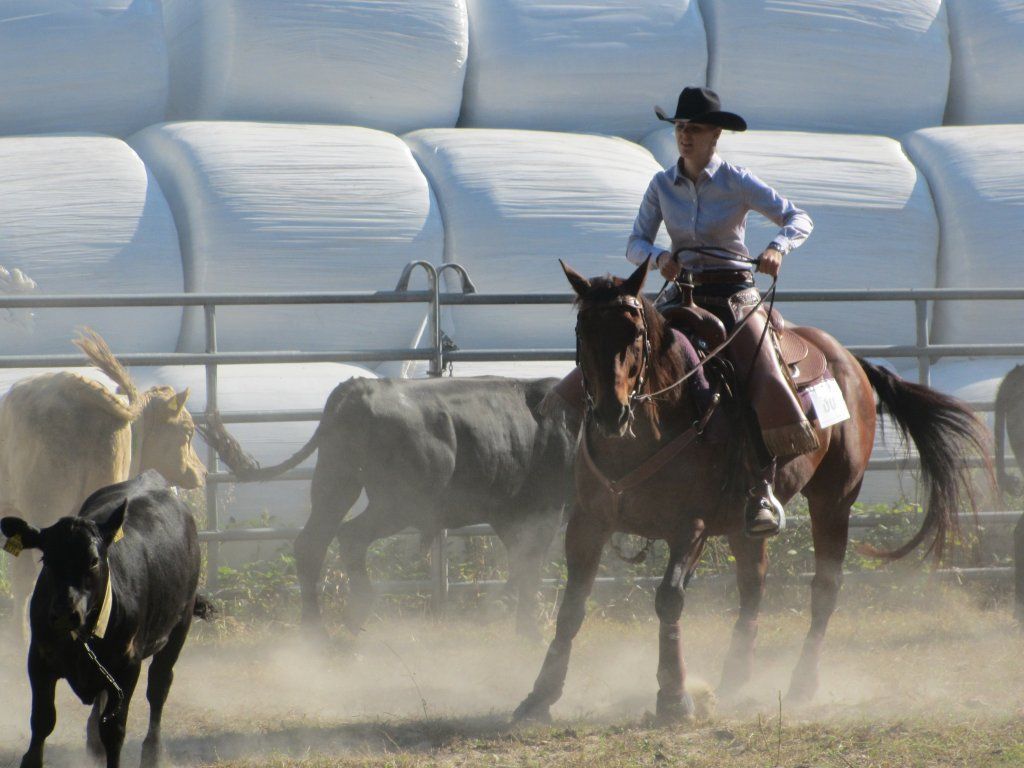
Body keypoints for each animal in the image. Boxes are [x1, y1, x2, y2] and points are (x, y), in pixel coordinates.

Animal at [514, 257, 992, 722]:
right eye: (583, 331)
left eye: (634, 333)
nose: (611, 413)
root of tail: (848, 359)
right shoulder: (587, 523)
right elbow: (572, 606)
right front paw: (539, 696)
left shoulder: (691, 526)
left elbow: (669, 599)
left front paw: (674, 697)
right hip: (746, 523)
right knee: (753, 583)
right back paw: (736, 677)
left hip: (835, 500)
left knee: (824, 588)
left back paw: (802, 684)